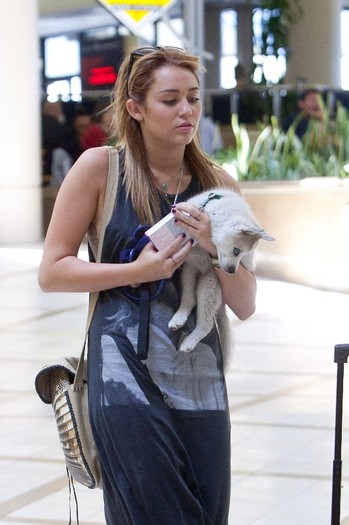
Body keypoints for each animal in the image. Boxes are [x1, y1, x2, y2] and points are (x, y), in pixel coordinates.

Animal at [167, 188, 274, 364]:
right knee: (189, 299)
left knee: (206, 323)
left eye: (241, 255)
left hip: (210, 285)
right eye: (237, 251)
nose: (231, 271)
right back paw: (179, 318)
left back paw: (189, 342)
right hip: (188, 274)